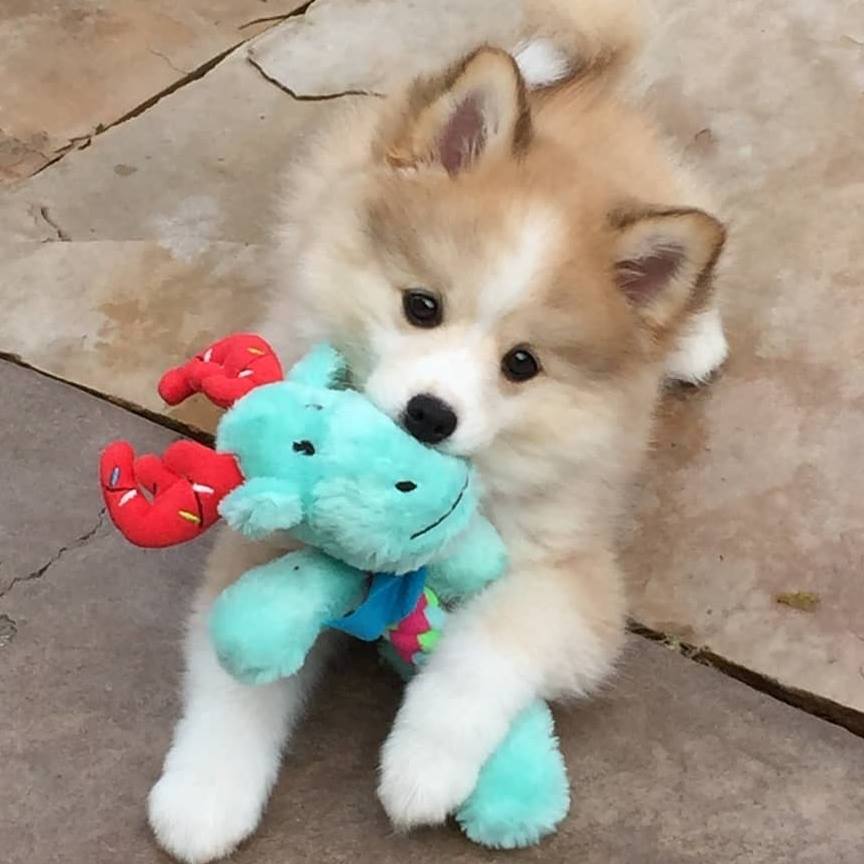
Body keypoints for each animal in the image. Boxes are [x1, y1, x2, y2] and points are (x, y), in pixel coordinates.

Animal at [148, 3, 728, 860]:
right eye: (421, 306)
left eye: (521, 364)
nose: (430, 414)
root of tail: (582, 89)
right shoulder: (259, 540)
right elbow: (232, 677)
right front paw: (204, 792)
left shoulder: (575, 582)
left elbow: (485, 645)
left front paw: (423, 766)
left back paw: (691, 342)